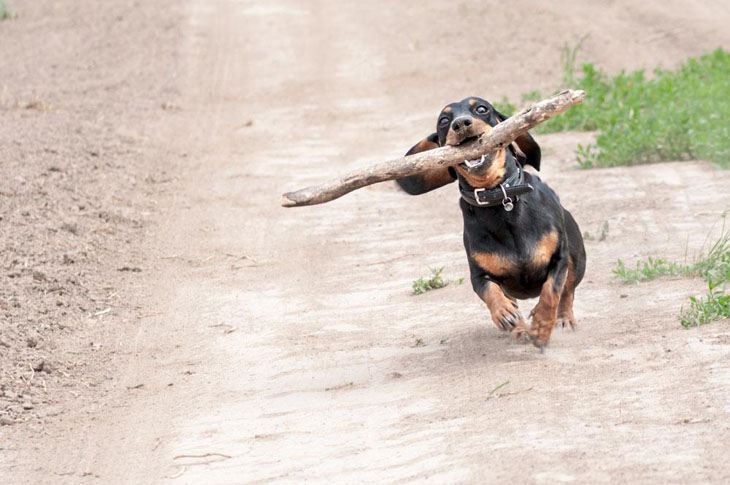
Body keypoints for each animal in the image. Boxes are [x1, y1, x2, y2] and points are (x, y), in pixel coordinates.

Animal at [396, 97, 584, 348]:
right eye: (444, 120)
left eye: (482, 109)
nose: (460, 124)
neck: (498, 198)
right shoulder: (479, 275)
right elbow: (490, 291)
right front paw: (505, 313)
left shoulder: (559, 258)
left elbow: (552, 291)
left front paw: (543, 326)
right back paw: (518, 326)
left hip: (576, 258)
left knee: (567, 290)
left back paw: (562, 319)